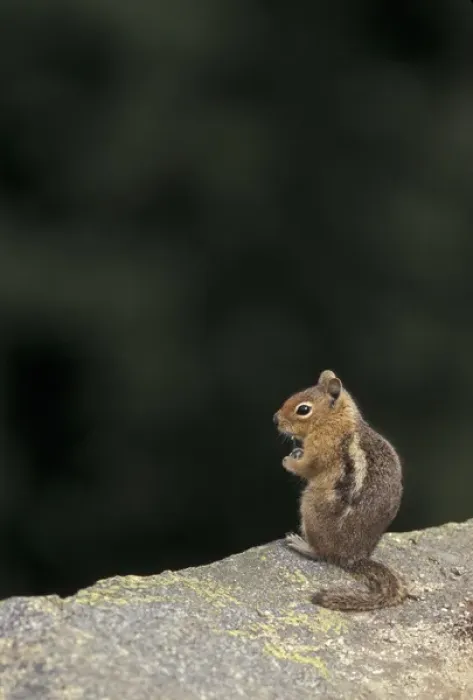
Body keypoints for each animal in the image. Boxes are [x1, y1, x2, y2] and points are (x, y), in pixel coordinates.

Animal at [273, 369, 408, 612]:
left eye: (303, 409)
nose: (275, 419)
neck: (335, 420)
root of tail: (352, 557)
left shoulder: (320, 448)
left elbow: (307, 467)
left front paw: (288, 461)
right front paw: (295, 452)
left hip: (310, 506)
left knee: (322, 555)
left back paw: (299, 543)